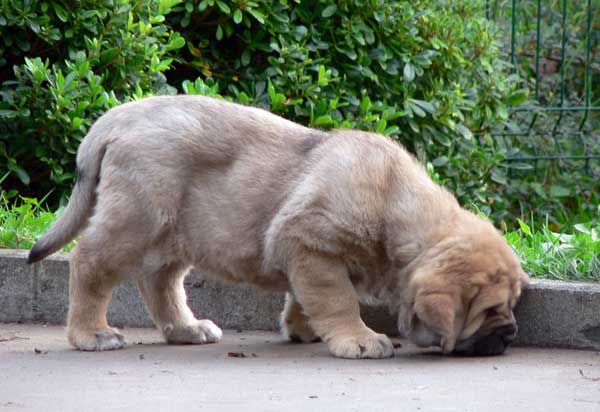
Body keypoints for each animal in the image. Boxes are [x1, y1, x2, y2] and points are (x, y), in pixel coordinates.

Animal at [28, 96, 528, 358]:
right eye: (488, 310)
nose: (509, 334)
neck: (395, 208)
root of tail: (118, 116)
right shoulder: (311, 244)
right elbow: (338, 298)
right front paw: (359, 338)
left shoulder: (306, 252)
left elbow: (306, 296)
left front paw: (303, 327)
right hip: (137, 218)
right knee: (89, 264)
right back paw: (92, 334)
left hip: (175, 233)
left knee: (160, 282)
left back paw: (186, 329)